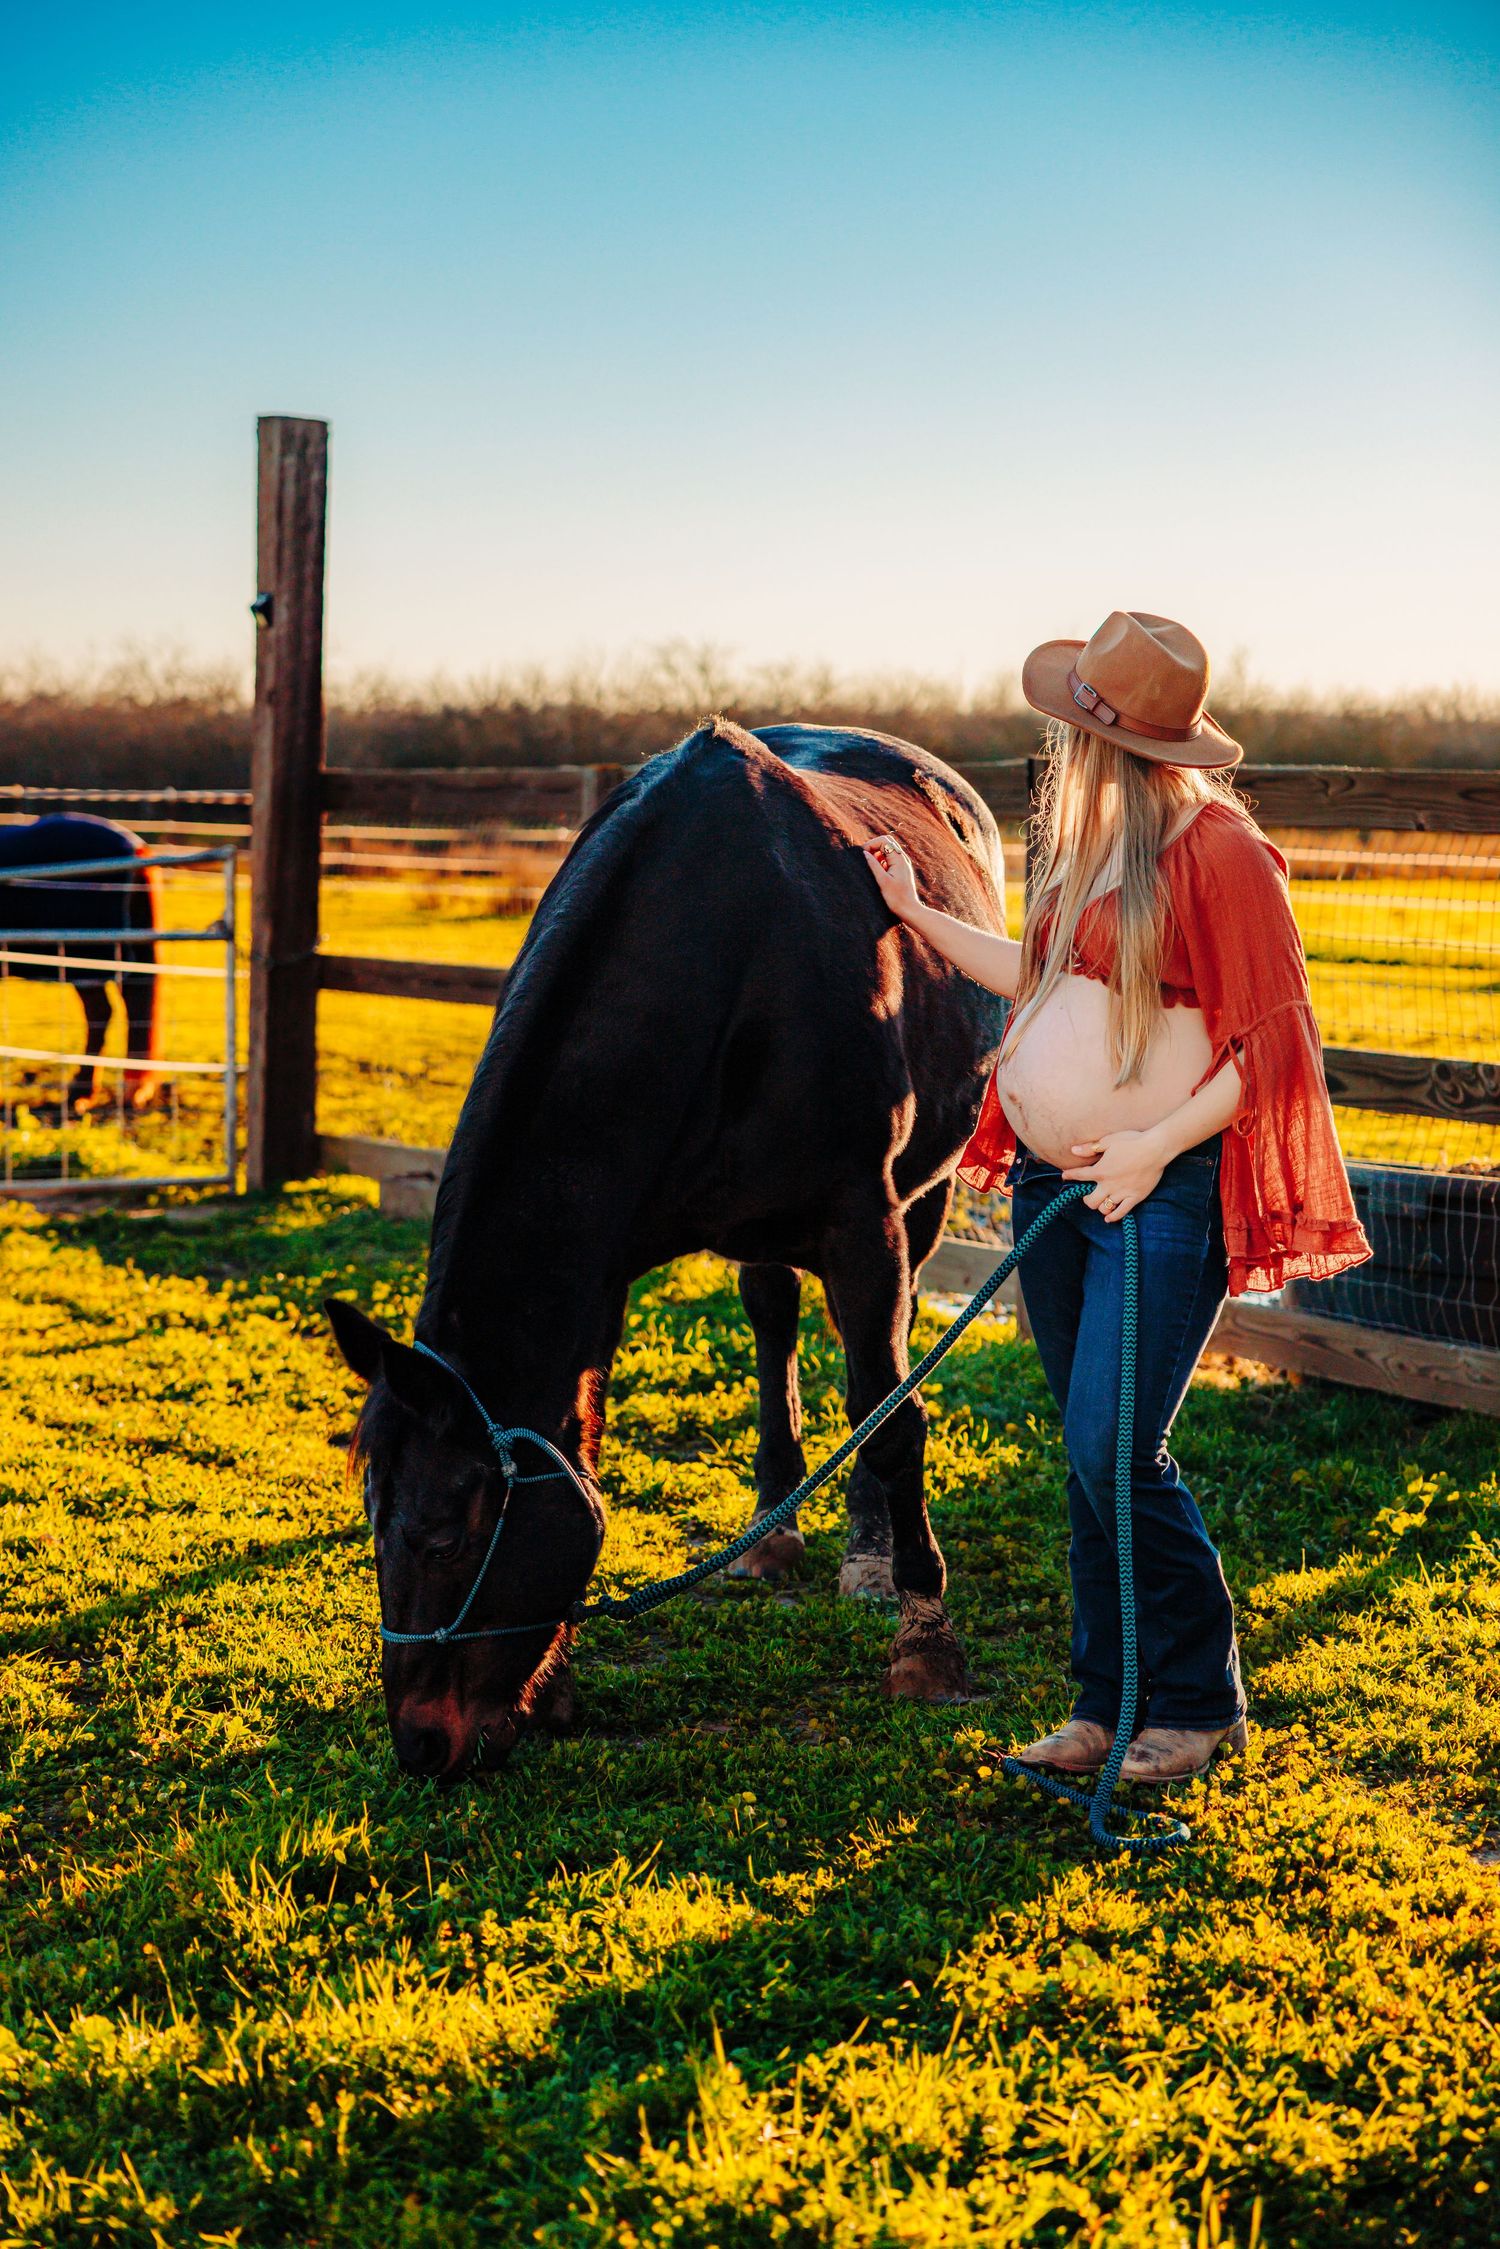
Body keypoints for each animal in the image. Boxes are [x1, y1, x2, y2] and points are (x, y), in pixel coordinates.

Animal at [326, 718, 1009, 1781]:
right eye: (372, 1522)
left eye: (443, 1537)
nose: (422, 1745)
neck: (720, 955)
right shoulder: (599, 1268)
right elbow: (583, 1443)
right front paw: (554, 1682)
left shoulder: (867, 1224)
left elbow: (892, 1419)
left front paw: (927, 1643)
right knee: (774, 1324)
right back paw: (775, 1527)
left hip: (923, 1195)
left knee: (875, 1385)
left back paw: (866, 1552)